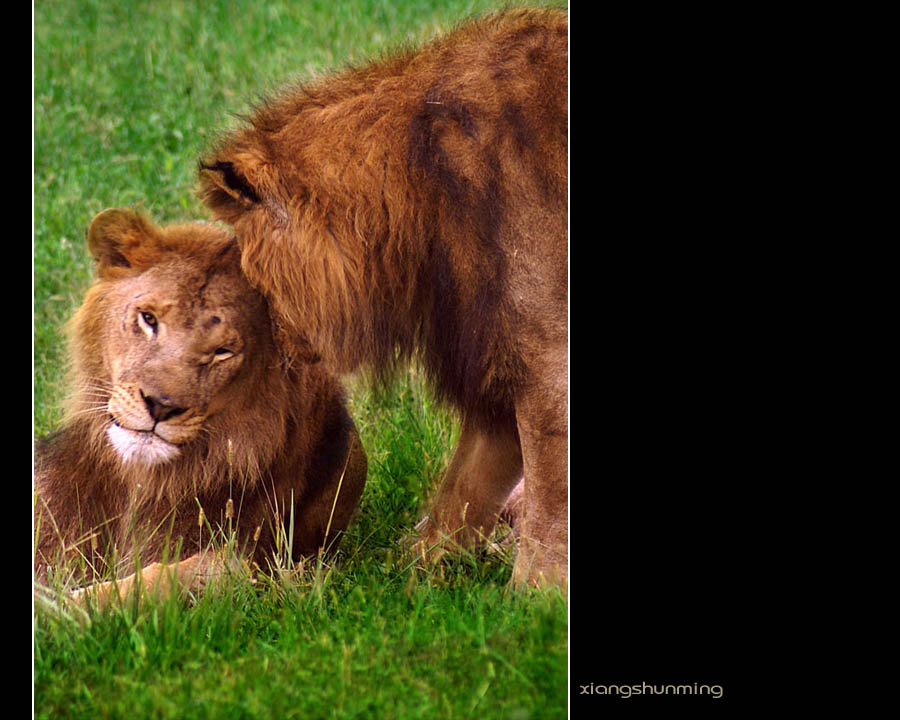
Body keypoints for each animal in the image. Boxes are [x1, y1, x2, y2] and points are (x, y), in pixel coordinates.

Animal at [33, 210, 368, 608]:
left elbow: (160, 580)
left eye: (222, 351)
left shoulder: (253, 560)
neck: (139, 484)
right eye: (148, 319)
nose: (161, 406)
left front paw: (61, 608)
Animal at [198, 7, 568, 592]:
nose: (271, 352)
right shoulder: (493, 350)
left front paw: (536, 595)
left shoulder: (549, 358)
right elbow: (464, 486)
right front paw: (406, 572)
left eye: (252, 275)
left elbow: (550, 495)